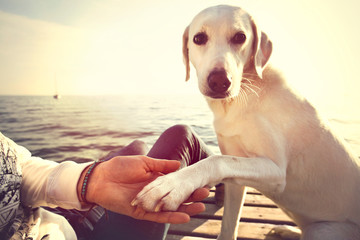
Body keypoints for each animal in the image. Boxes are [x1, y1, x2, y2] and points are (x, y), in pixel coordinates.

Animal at [134, 4, 360, 239]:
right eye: (199, 38)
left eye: (240, 37)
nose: (219, 81)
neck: (239, 100)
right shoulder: (236, 179)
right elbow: (228, 222)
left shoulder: (276, 172)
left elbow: (216, 160)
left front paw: (173, 184)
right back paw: (286, 229)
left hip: (324, 229)